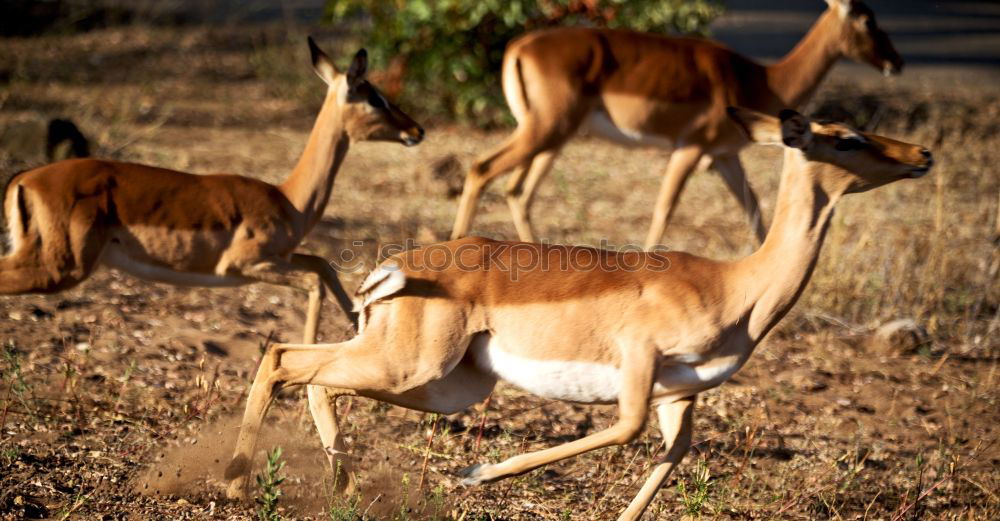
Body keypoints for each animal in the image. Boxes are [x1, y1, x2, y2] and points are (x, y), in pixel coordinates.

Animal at [0, 36, 422, 484]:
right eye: (373, 96)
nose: (416, 130)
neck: (288, 199)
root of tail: (25, 178)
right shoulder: (246, 266)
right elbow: (315, 281)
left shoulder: (282, 257)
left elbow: (322, 265)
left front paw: (357, 317)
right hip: (60, 268)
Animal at [223, 105, 932, 516]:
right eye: (845, 138)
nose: (921, 155)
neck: (736, 286)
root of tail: (396, 267)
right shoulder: (640, 371)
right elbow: (624, 432)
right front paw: (472, 474)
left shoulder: (681, 395)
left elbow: (671, 455)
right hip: (413, 370)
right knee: (285, 360)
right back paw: (236, 484)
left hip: (443, 385)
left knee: (304, 370)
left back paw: (336, 489)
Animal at [450, 0, 904, 248]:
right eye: (867, 20)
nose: (896, 62)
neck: (762, 78)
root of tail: (520, 46)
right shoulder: (690, 149)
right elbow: (664, 209)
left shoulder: (724, 157)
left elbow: (754, 208)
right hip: (546, 131)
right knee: (481, 169)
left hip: (551, 138)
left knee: (517, 191)